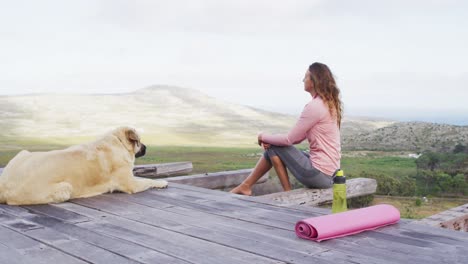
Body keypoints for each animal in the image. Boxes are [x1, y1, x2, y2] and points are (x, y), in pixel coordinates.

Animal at [0, 127, 168, 205]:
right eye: (139, 141)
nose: (146, 147)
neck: (118, 142)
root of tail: (4, 186)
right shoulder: (131, 184)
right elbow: (148, 180)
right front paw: (162, 182)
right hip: (65, 188)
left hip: (22, 153)